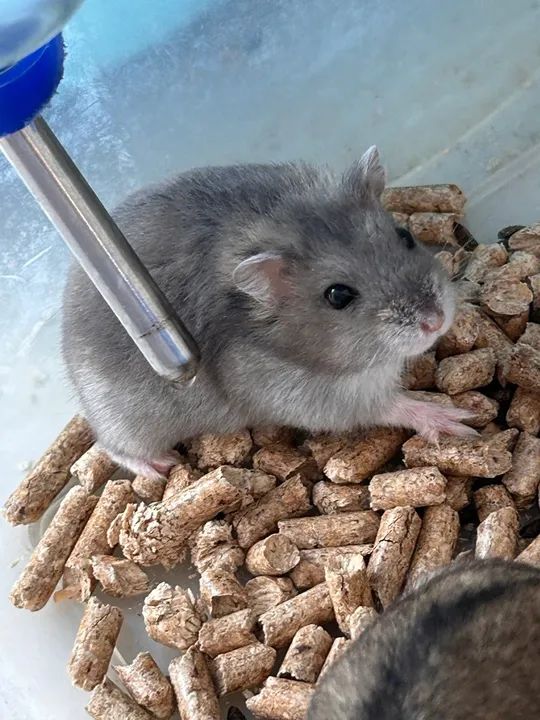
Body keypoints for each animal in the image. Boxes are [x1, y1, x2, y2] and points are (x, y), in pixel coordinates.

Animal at [62, 147, 473, 478]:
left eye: (405, 236)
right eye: (338, 295)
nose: (436, 321)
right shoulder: (314, 397)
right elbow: (390, 405)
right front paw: (459, 421)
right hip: (127, 421)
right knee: (114, 447)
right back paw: (161, 467)